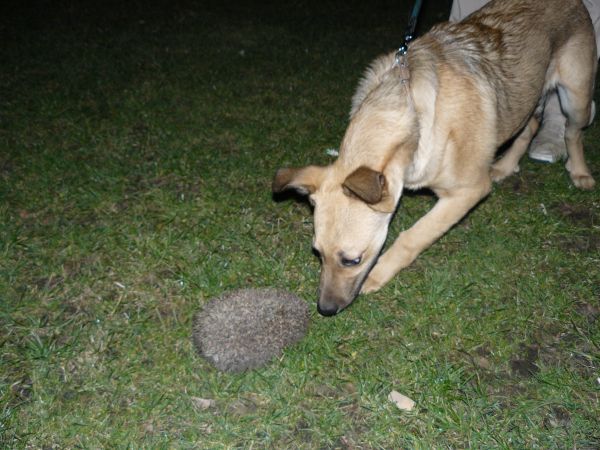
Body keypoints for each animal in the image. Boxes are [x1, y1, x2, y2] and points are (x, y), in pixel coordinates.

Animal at [273, 0, 597, 316]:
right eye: (318, 253)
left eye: (352, 260)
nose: (325, 310)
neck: (413, 112)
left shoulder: (467, 192)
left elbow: (412, 236)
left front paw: (379, 273)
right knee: (529, 124)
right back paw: (505, 166)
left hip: (576, 97)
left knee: (573, 133)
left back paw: (580, 172)